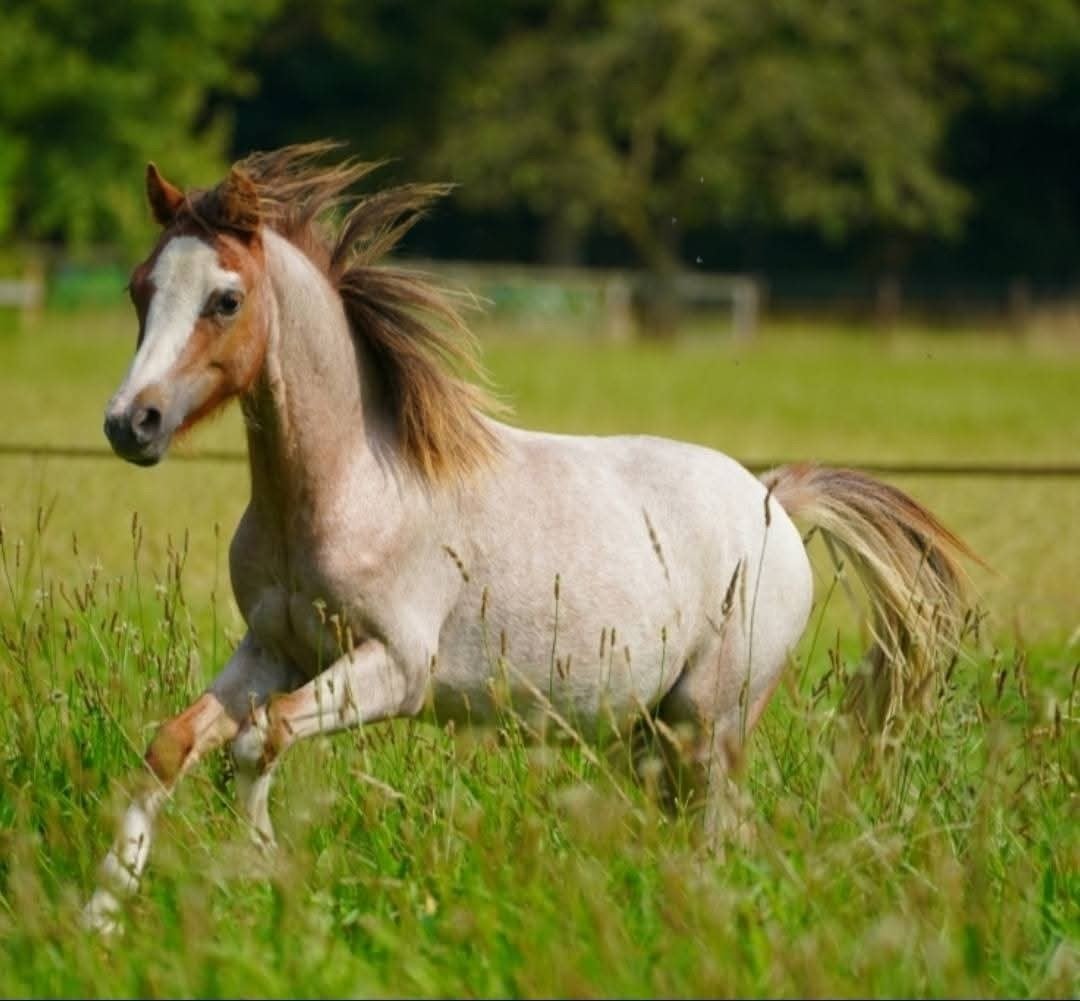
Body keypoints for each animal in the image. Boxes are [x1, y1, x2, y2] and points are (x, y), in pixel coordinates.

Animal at [84, 143, 973, 932]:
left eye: (225, 299)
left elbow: (256, 738)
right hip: (654, 730)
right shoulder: (277, 646)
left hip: (712, 722)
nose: (132, 422)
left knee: (725, 827)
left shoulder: (393, 668)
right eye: (137, 288)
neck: (351, 487)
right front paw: (102, 914)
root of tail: (774, 499)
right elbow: (176, 744)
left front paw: (262, 863)